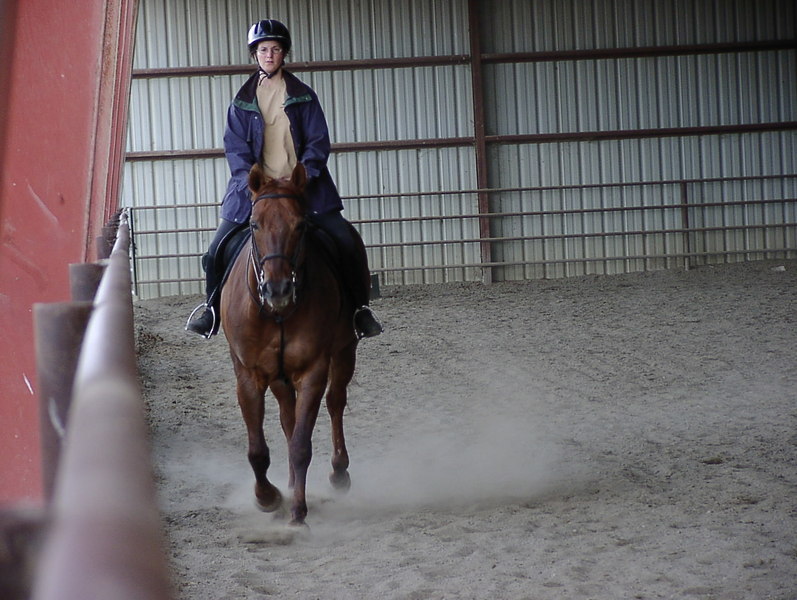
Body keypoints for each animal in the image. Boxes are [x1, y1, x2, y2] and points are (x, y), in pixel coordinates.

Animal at [220, 162, 359, 525]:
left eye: (300, 225)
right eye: (254, 224)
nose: (277, 289)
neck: (277, 313)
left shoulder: (313, 371)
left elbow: (301, 445)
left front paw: (297, 513)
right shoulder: (249, 375)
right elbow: (258, 450)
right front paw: (267, 497)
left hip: (344, 352)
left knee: (335, 402)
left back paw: (339, 473)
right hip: (279, 377)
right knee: (287, 417)